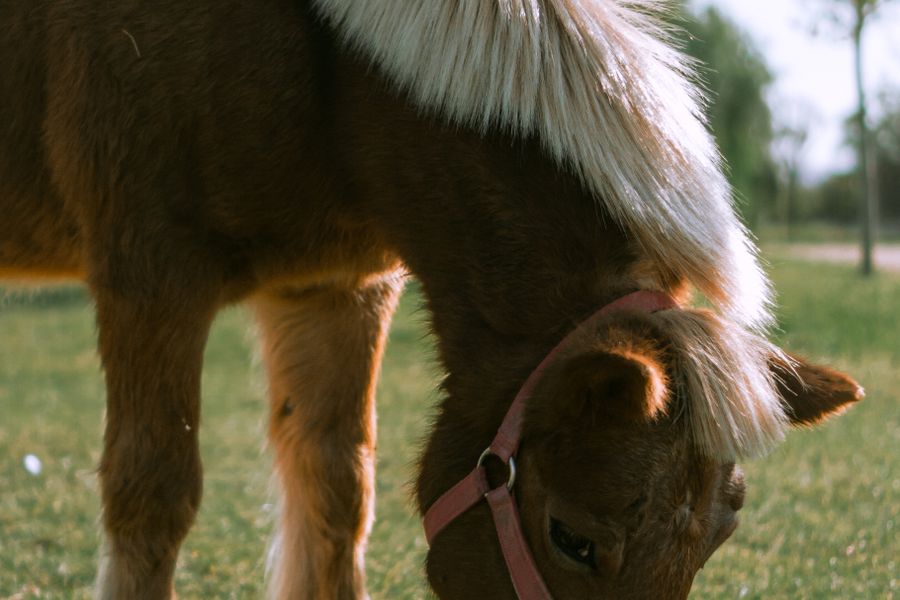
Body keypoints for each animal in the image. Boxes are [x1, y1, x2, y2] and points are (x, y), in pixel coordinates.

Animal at [0, 0, 862, 598]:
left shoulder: (332, 292)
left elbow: (335, 494)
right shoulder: (151, 276)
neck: (319, 65)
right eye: (572, 537)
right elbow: (153, 496)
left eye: (713, 542)